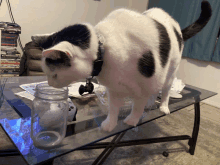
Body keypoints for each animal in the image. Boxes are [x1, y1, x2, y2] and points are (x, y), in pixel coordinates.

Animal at [31, 0, 211, 131]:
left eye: (54, 74)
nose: (49, 83)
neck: (104, 47)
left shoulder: (144, 84)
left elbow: (137, 105)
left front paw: (131, 120)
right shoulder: (114, 89)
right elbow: (113, 108)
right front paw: (110, 124)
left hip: (170, 70)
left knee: (165, 88)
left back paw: (163, 106)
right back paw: (151, 103)